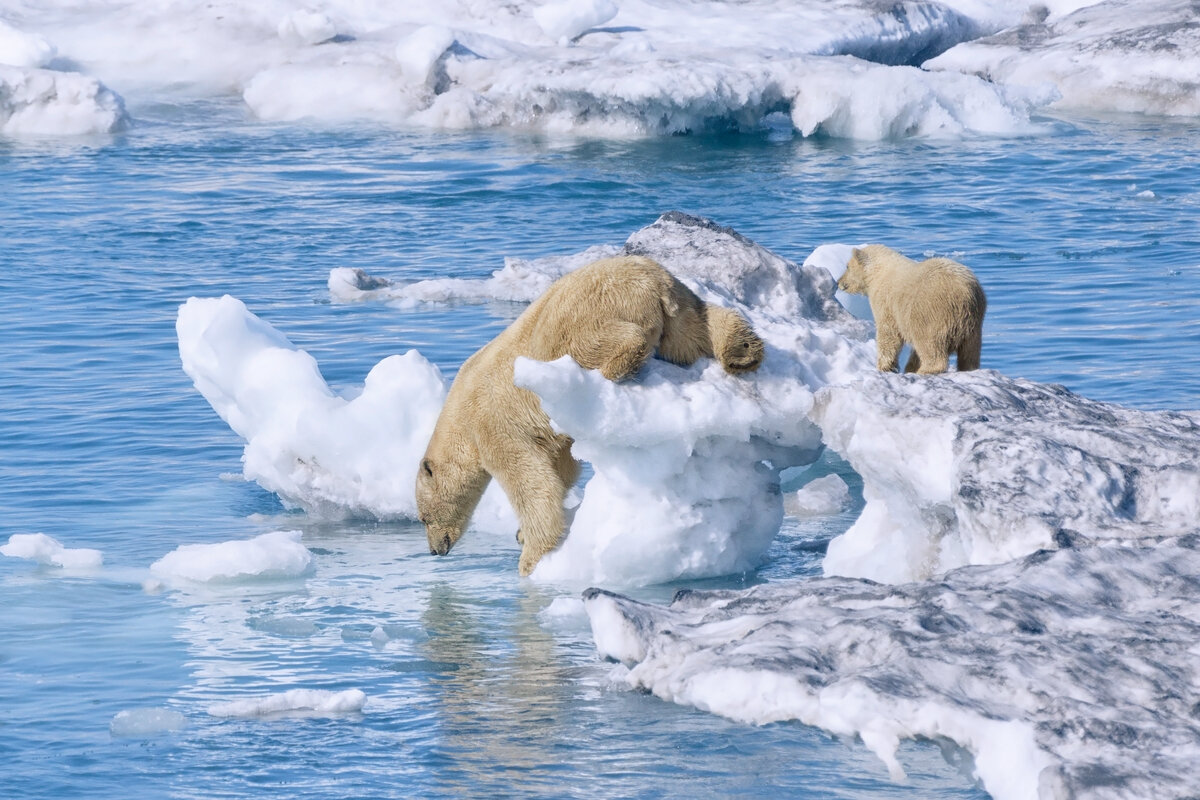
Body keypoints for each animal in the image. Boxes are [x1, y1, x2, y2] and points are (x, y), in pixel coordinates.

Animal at [417, 256, 763, 575]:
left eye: (424, 518)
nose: (435, 550)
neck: (459, 415)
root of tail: (653, 284)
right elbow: (561, 468)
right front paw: (523, 534)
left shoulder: (493, 424)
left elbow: (529, 480)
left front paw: (529, 557)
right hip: (678, 307)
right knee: (698, 330)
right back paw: (744, 350)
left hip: (585, 315)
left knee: (596, 340)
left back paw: (618, 366)